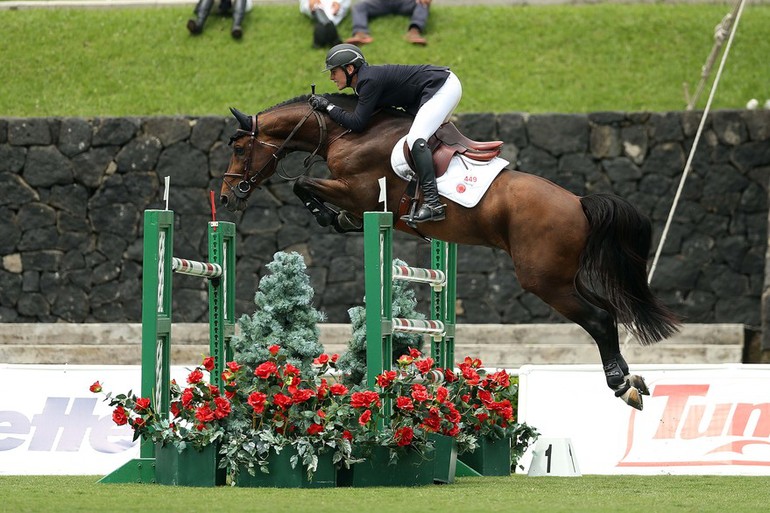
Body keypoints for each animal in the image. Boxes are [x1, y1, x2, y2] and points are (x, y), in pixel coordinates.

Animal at [220, 94, 680, 410]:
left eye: (240, 149)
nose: (226, 198)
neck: (347, 132)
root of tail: (579, 202)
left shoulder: (359, 192)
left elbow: (303, 184)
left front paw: (330, 217)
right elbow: (306, 186)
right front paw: (336, 219)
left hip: (544, 281)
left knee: (599, 318)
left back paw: (620, 384)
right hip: (564, 278)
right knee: (609, 314)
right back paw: (631, 380)